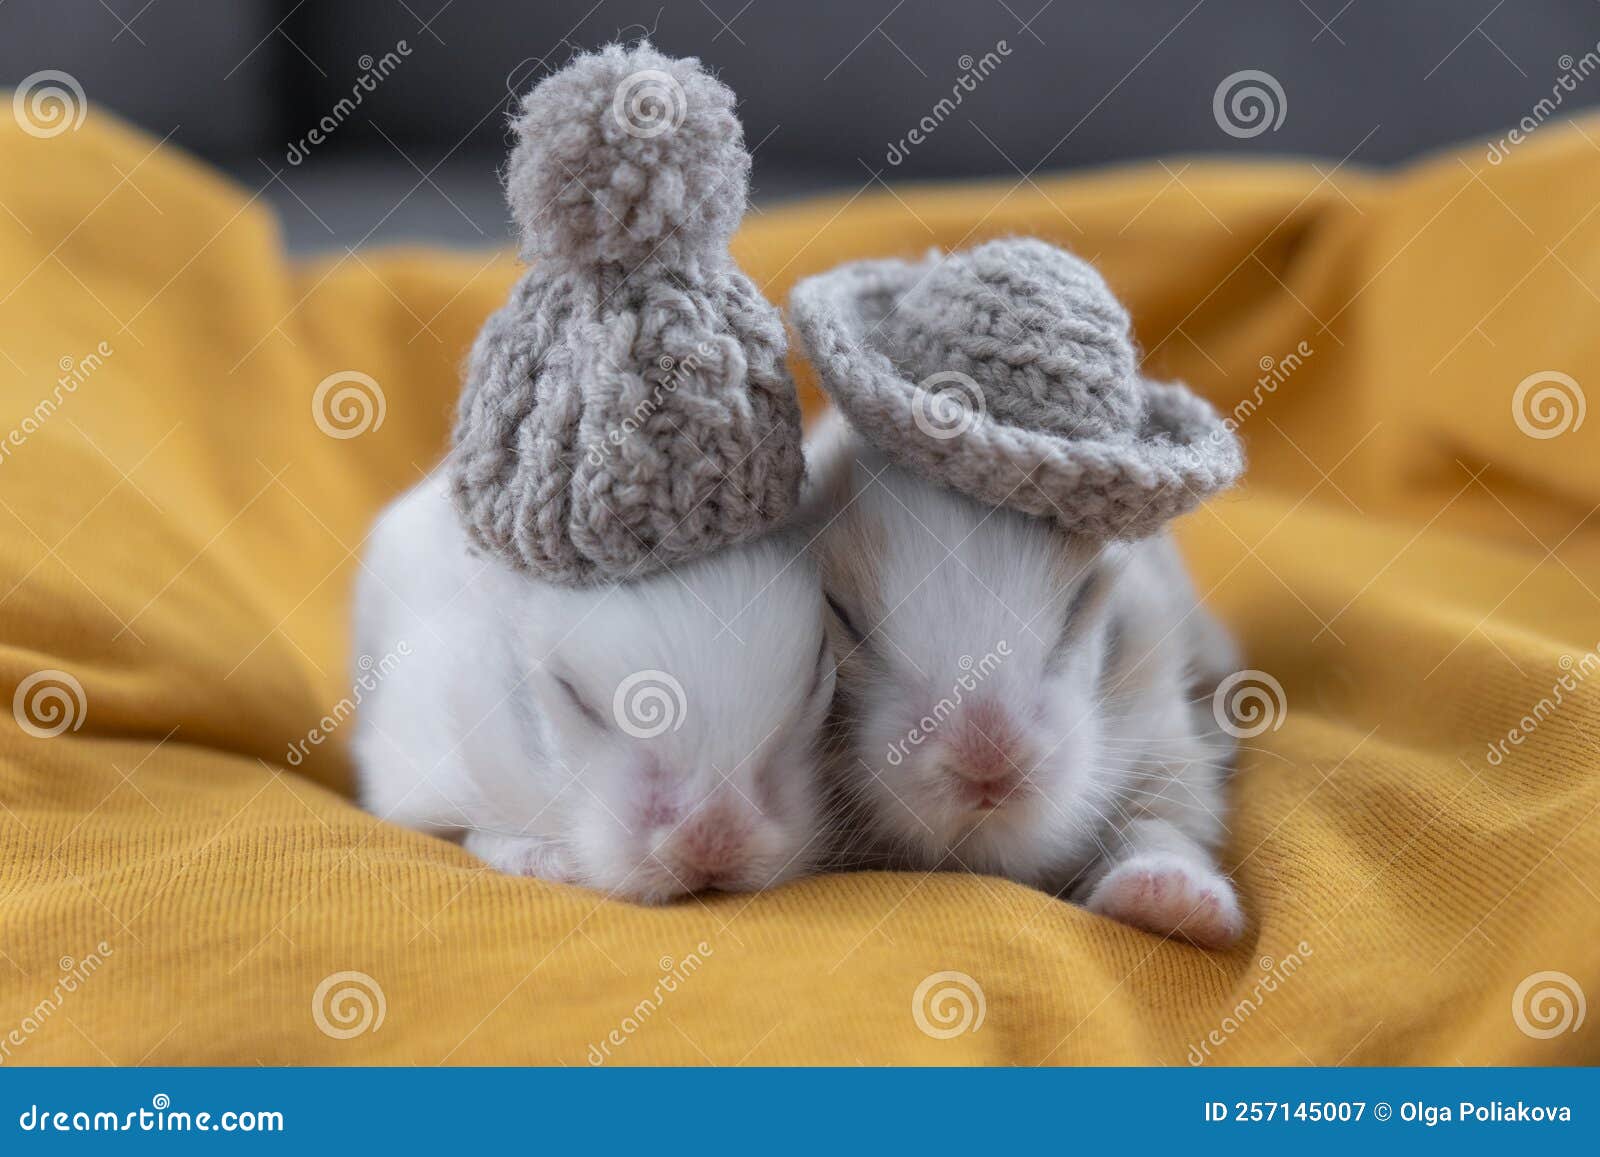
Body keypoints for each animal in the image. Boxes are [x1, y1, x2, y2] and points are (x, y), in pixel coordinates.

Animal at [803, 412, 1245, 947]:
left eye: (1082, 598)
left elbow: (1160, 827)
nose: (986, 764)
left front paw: (1169, 899)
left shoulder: (1167, 753)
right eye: (842, 614)